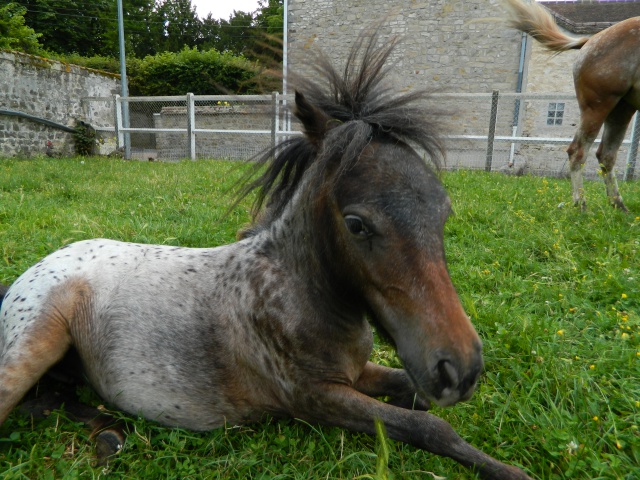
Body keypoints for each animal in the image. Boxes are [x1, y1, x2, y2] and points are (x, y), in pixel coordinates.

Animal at [0, 31, 528, 478]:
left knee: (50, 399)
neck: (291, 290)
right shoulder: (316, 398)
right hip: (35, 344)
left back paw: (111, 434)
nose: (459, 370)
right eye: (357, 224)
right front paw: (510, 471)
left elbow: (416, 398)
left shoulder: (357, 373)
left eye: (443, 212)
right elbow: (428, 424)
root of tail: (36, 269)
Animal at [504, 0, 640, 210]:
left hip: (622, 109)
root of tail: (589, 41)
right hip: (599, 106)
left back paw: (618, 206)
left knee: (606, 155)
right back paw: (581, 204)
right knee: (578, 152)